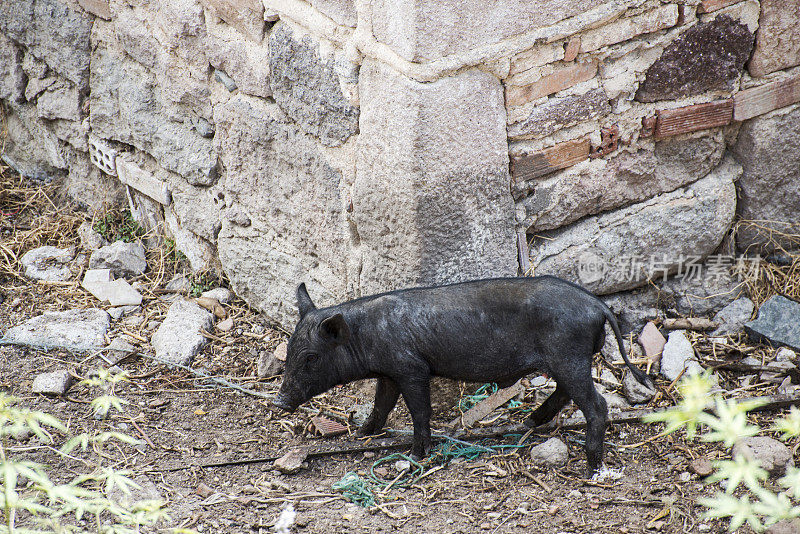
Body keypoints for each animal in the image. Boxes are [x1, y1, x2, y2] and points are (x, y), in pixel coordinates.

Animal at [272, 278, 652, 476]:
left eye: (311, 358)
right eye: (289, 349)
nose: (279, 400)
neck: (365, 336)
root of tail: (598, 305)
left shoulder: (411, 368)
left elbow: (419, 410)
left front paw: (416, 456)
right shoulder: (390, 373)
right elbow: (382, 404)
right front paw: (363, 433)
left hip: (568, 356)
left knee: (596, 404)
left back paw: (590, 467)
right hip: (566, 361)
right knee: (565, 392)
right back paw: (529, 422)